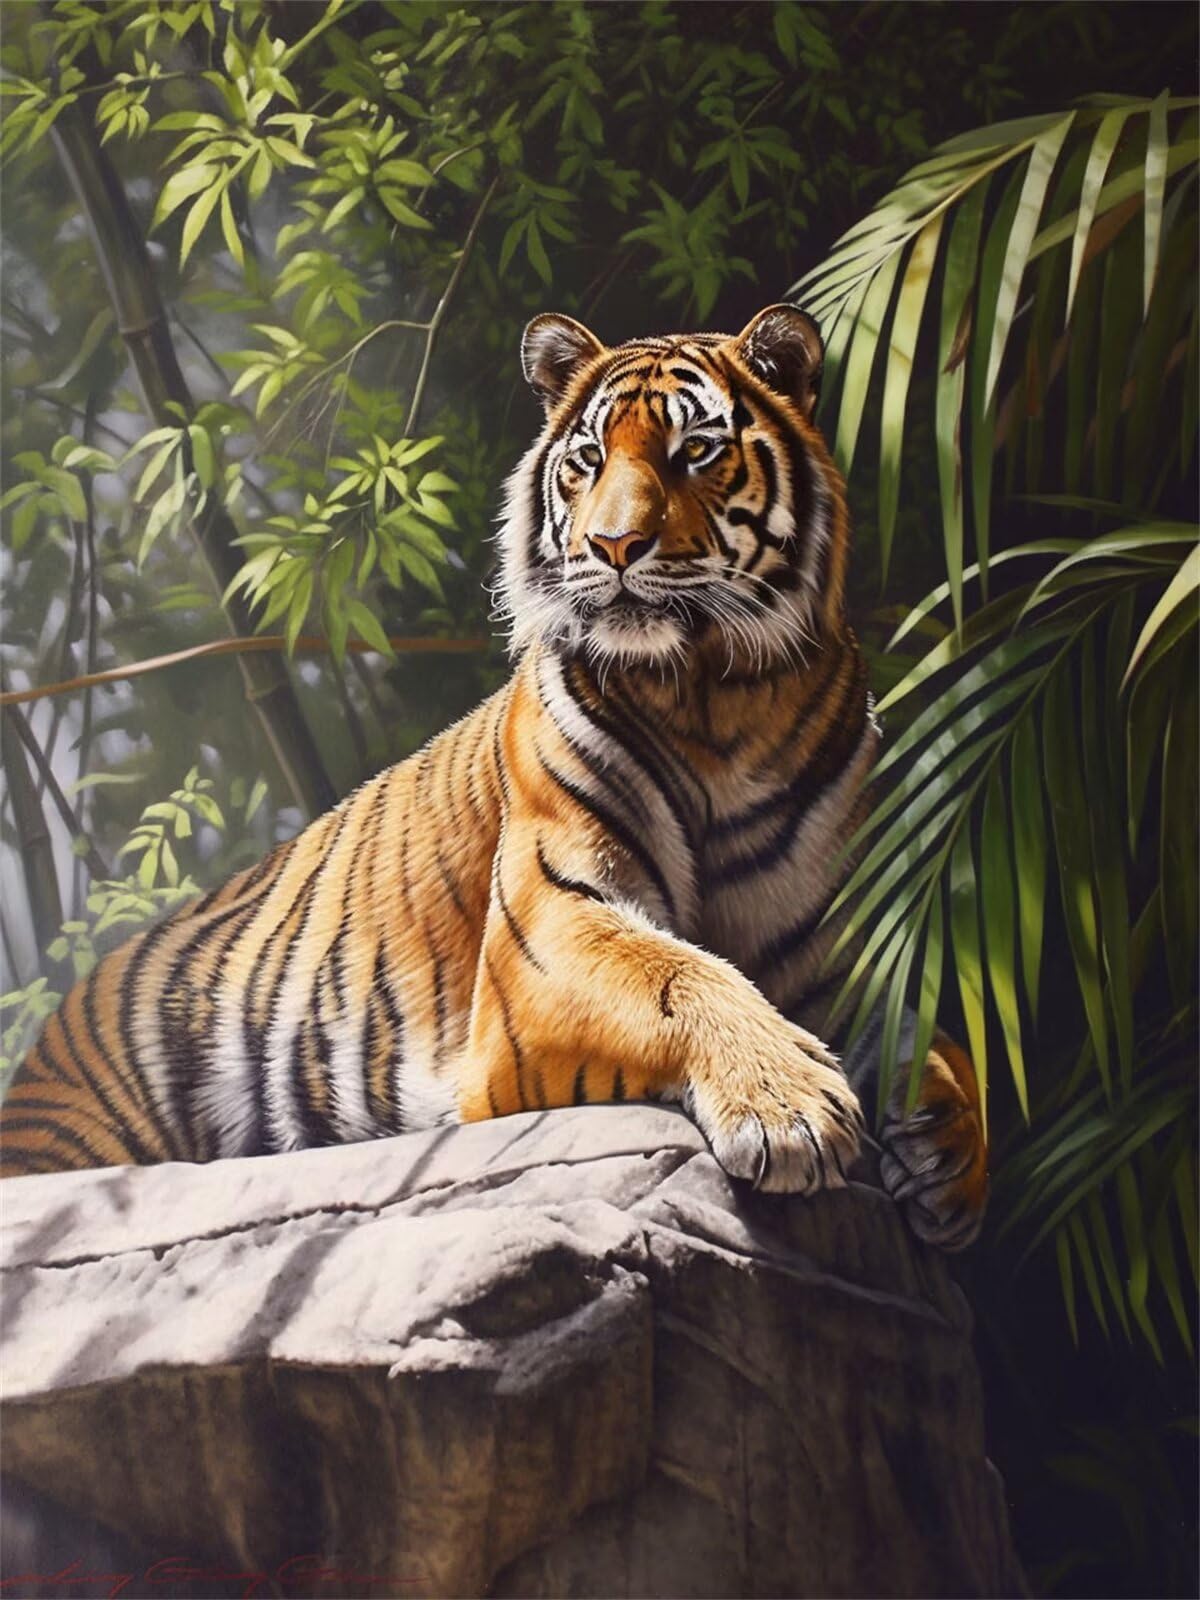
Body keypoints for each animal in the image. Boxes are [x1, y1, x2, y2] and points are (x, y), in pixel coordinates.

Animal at [0, 304, 987, 1248]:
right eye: (588, 460)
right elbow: (679, 974)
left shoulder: (842, 937)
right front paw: (790, 1106)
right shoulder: (550, 926)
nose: (613, 545)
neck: (719, 704)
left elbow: (930, 1024)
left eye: (695, 451)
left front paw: (948, 1152)